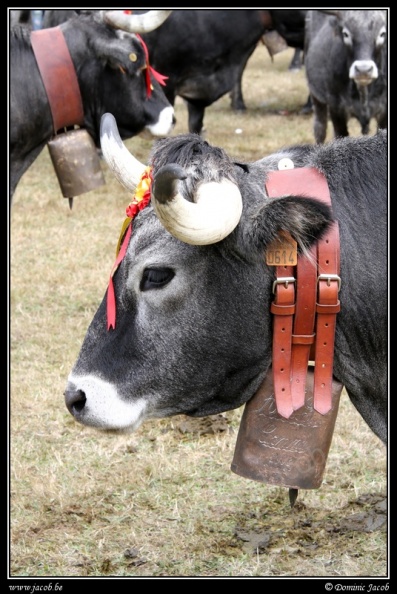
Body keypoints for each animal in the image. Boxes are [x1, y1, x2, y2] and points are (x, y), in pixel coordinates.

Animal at [304, 10, 386, 143]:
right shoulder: (336, 108)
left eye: (382, 33)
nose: (363, 69)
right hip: (316, 96)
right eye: (346, 34)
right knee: (320, 128)